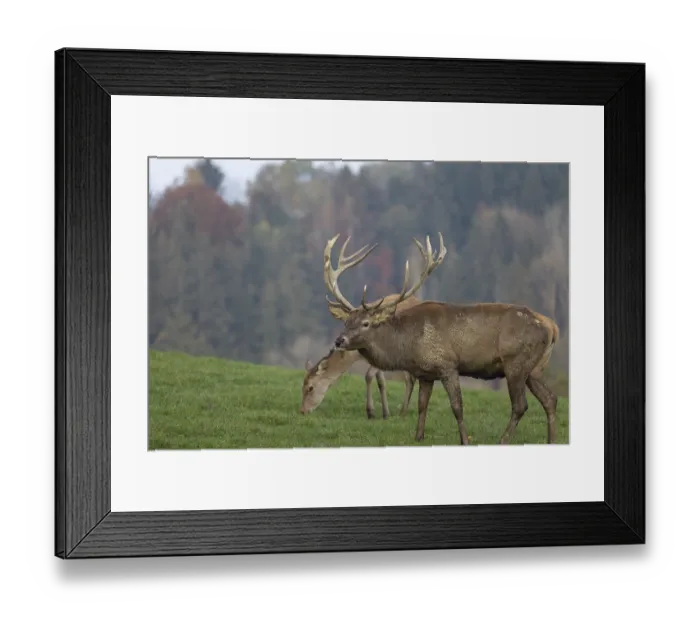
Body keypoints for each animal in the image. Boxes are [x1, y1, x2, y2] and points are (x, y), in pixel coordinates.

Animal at [326, 233, 560, 446]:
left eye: (366, 323)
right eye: (346, 321)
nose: (339, 340)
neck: (409, 345)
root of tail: (552, 327)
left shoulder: (447, 365)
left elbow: (457, 407)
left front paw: (464, 440)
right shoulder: (425, 373)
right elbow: (422, 405)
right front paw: (418, 437)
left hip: (516, 363)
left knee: (521, 405)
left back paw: (503, 440)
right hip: (534, 368)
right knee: (550, 399)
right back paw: (551, 440)